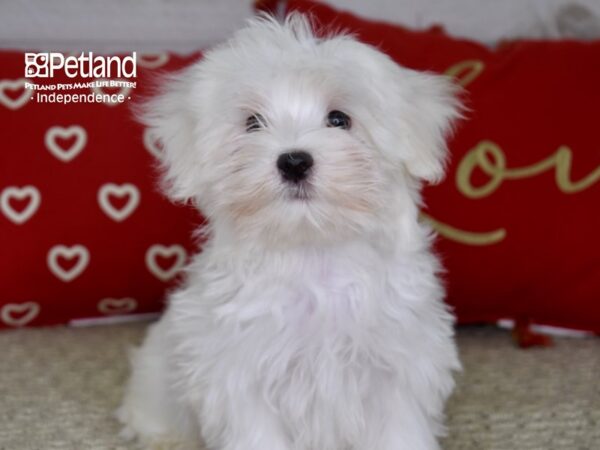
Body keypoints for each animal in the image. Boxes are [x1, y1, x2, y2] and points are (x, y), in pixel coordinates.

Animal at [118, 12, 464, 450]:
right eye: (253, 123)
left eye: (339, 119)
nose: (294, 161)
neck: (312, 252)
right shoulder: (242, 376)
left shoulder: (398, 370)